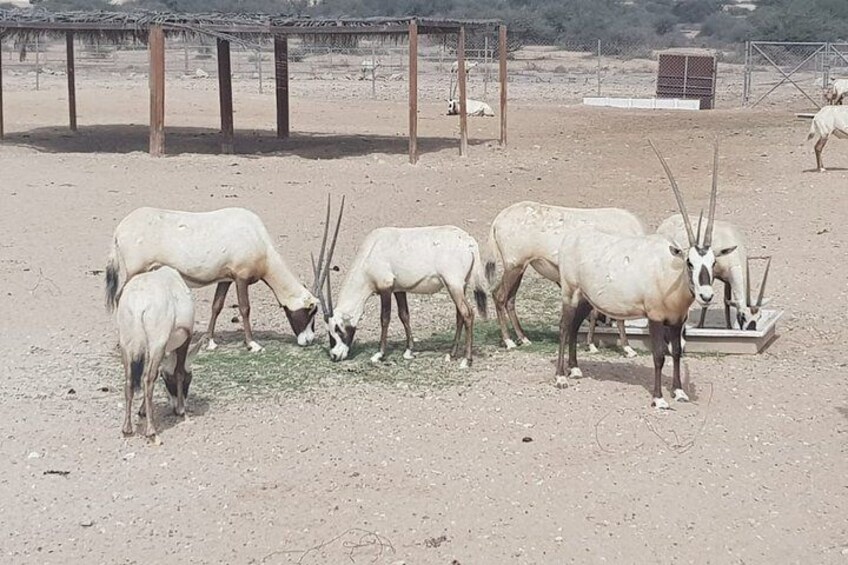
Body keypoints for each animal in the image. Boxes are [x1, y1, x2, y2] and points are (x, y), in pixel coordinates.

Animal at [117, 264, 201, 440]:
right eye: (190, 378)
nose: (176, 405)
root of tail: (139, 303)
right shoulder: (185, 338)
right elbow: (178, 371)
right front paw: (181, 410)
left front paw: (142, 410)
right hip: (157, 344)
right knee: (147, 379)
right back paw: (151, 430)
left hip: (126, 345)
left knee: (130, 380)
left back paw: (127, 428)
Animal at [318, 220, 486, 366]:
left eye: (337, 328)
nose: (334, 355)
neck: (371, 251)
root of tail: (470, 242)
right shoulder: (399, 289)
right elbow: (404, 315)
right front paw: (409, 351)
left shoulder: (385, 287)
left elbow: (385, 318)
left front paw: (379, 354)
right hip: (460, 286)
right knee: (460, 316)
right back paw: (451, 354)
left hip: (453, 284)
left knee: (468, 313)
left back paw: (466, 360)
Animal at [556, 139, 736, 408]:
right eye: (689, 262)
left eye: (713, 262)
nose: (706, 295)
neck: (670, 276)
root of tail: (573, 237)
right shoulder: (655, 317)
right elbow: (659, 355)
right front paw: (659, 398)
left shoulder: (677, 320)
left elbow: (677, 353)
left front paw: (679, 392)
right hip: (570, 293)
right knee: (564, 327)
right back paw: (560, 377)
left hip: (587, 299)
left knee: (575, 325)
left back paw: (575, 369)